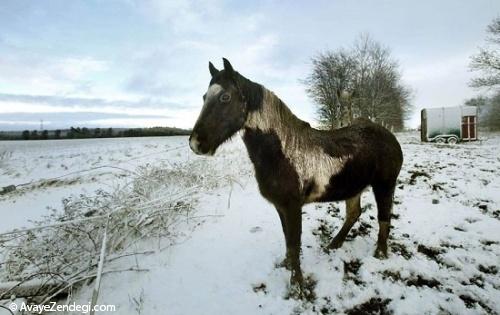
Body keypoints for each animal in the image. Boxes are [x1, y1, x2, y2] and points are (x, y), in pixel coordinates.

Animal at [189, 58, 404, 298]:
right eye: (204, 97)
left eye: (225, 97)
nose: (196, 143)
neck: (283, 151)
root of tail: (388, 135)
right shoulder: (280, 206)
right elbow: (287, 240)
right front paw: (287, 266)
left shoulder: (293, 207)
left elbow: (294, 242)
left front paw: (297, 287)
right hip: (354, 187)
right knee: (354, 213)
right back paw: (334, 245)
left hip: (385, 185)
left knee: (384, 216)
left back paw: (380, 254)